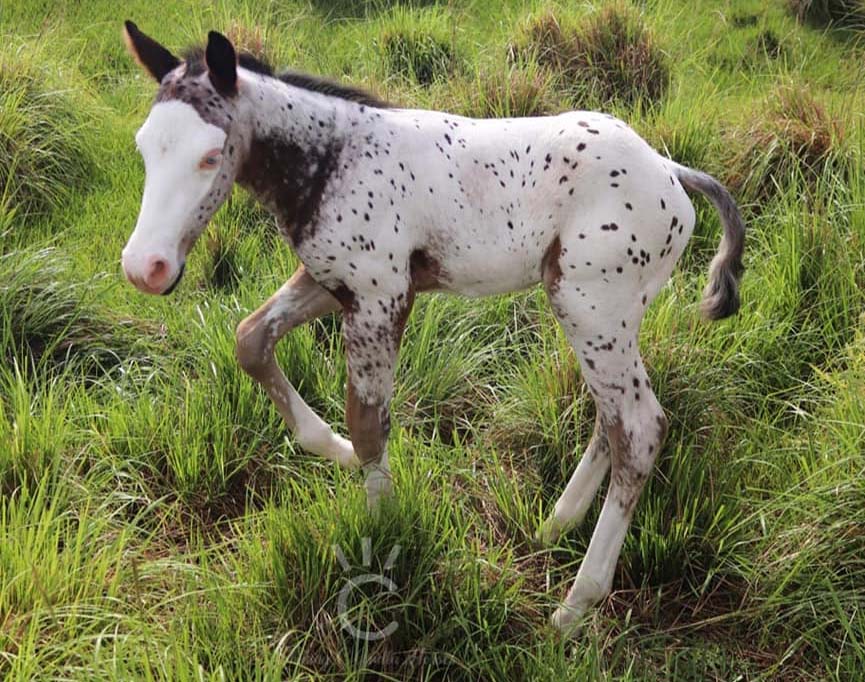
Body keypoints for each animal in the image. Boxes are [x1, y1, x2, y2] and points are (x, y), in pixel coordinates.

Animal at [120, 26, 744, 632]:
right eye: (143, 146)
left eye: (210, 155)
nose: (144, 268)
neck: (333, 161)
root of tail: (671, 171)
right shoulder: (330, 281)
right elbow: (251, 340)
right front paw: (334, 450)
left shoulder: (380, 297)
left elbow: (369, 424)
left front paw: (381, 543)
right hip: (607, 317)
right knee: (612, 419)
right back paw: (555, 526)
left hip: (592, 307)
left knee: (638, 430)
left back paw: (574, 605)